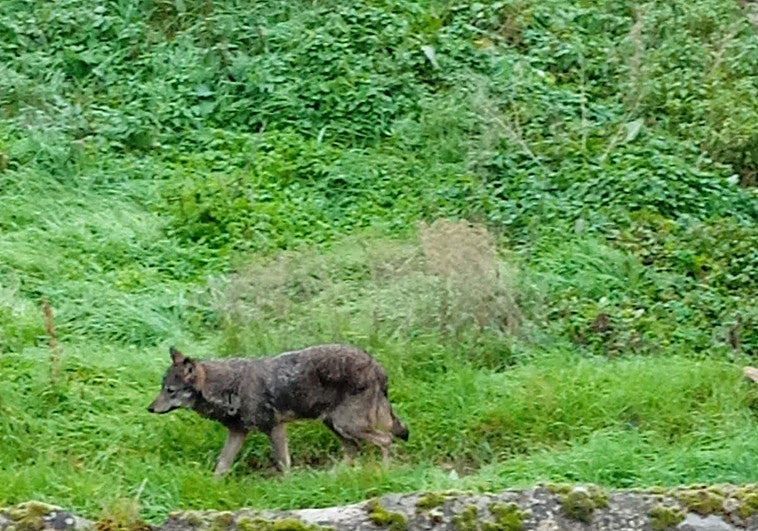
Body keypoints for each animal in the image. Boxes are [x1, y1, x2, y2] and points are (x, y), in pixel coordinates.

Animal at [147, 344, 409, 476]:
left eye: (170, 390)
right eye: (162, 388)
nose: (150, 408)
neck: (230, 387)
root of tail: (376, 364)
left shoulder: (274, 427)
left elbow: (283, 463)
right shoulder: (238, 433)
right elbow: (221, 466)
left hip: (348, 424)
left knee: (386, 439)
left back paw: (385, 472)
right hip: (335, 424)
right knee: (354, 449)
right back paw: (332, 477)